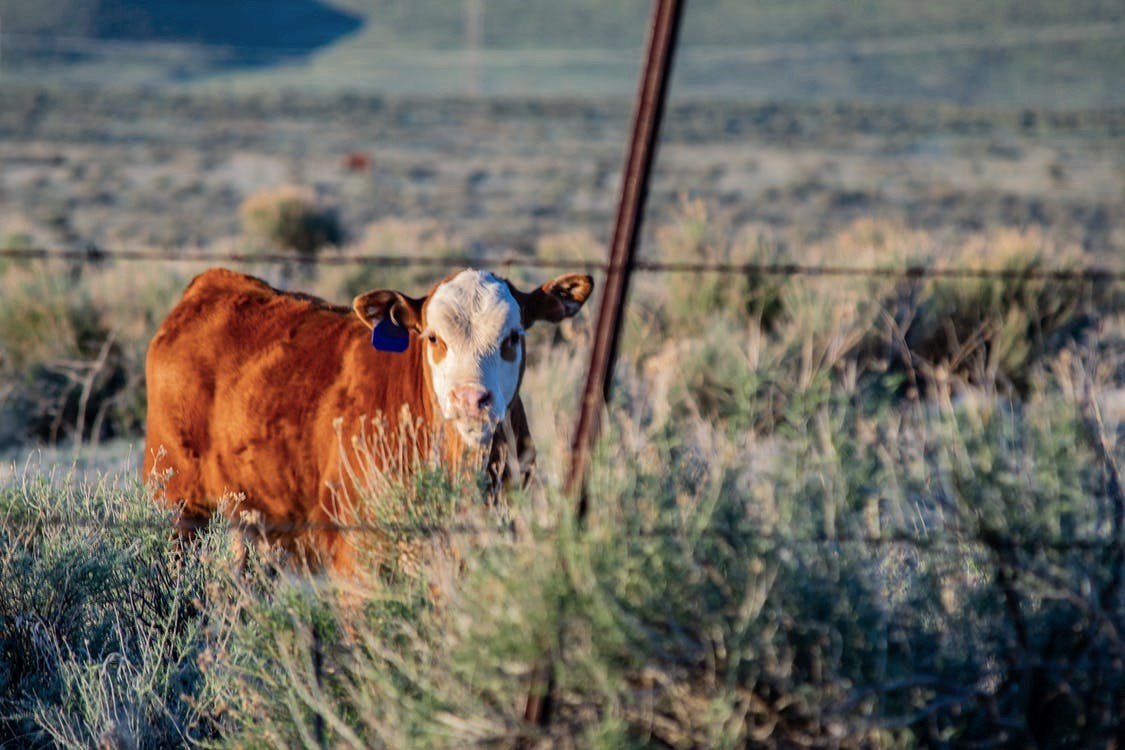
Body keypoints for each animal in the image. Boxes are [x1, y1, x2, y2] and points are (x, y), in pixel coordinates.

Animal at [145, 268, 594, 575]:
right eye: (433, 338)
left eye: (512, 337)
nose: (470, 399)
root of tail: (211, 284)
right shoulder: (356, 552)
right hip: (175, 499)